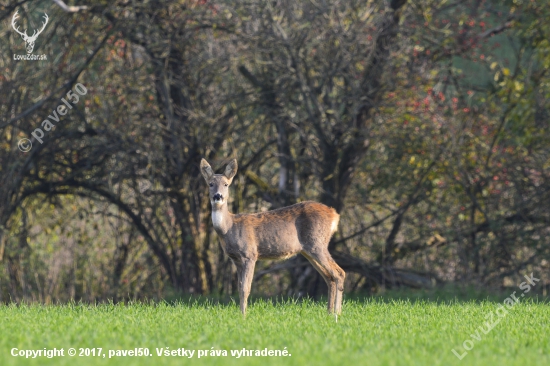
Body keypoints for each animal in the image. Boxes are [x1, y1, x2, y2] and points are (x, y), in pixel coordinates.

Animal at [199, 159, 344, 316]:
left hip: (317, 244)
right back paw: (329, 312)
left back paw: (337, 313)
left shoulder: (250, 254)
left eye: (226, 184)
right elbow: (239, 288)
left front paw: (244, 316)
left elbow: (245, 288)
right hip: (308, 250)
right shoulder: (235, 259)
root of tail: (335, 215)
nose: (217, 196)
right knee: (329, 277)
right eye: (210, 184)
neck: (229, 227)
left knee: (339, 273)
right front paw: (240, 313)